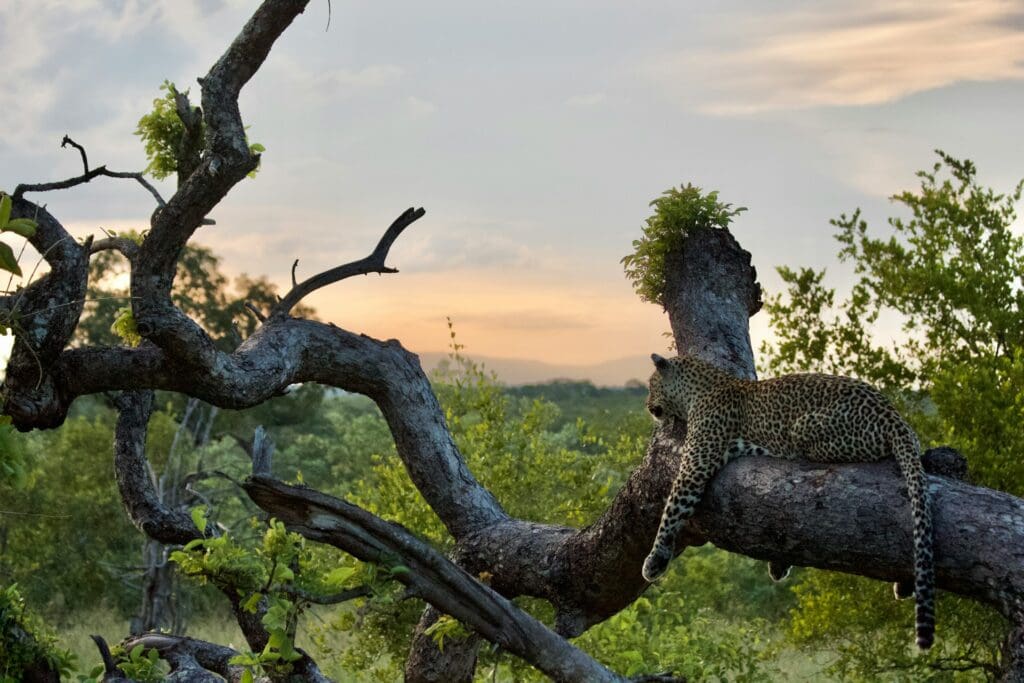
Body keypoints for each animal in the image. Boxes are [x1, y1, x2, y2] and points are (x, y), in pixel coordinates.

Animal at [641, 352, 935, 650]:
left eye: (652, 384)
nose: (647, 405)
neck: (700, 388)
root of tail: (894, 416)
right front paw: (778, 565)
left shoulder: (695, 465)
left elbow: (671, 511)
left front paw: (654, 560)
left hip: (804, 428)